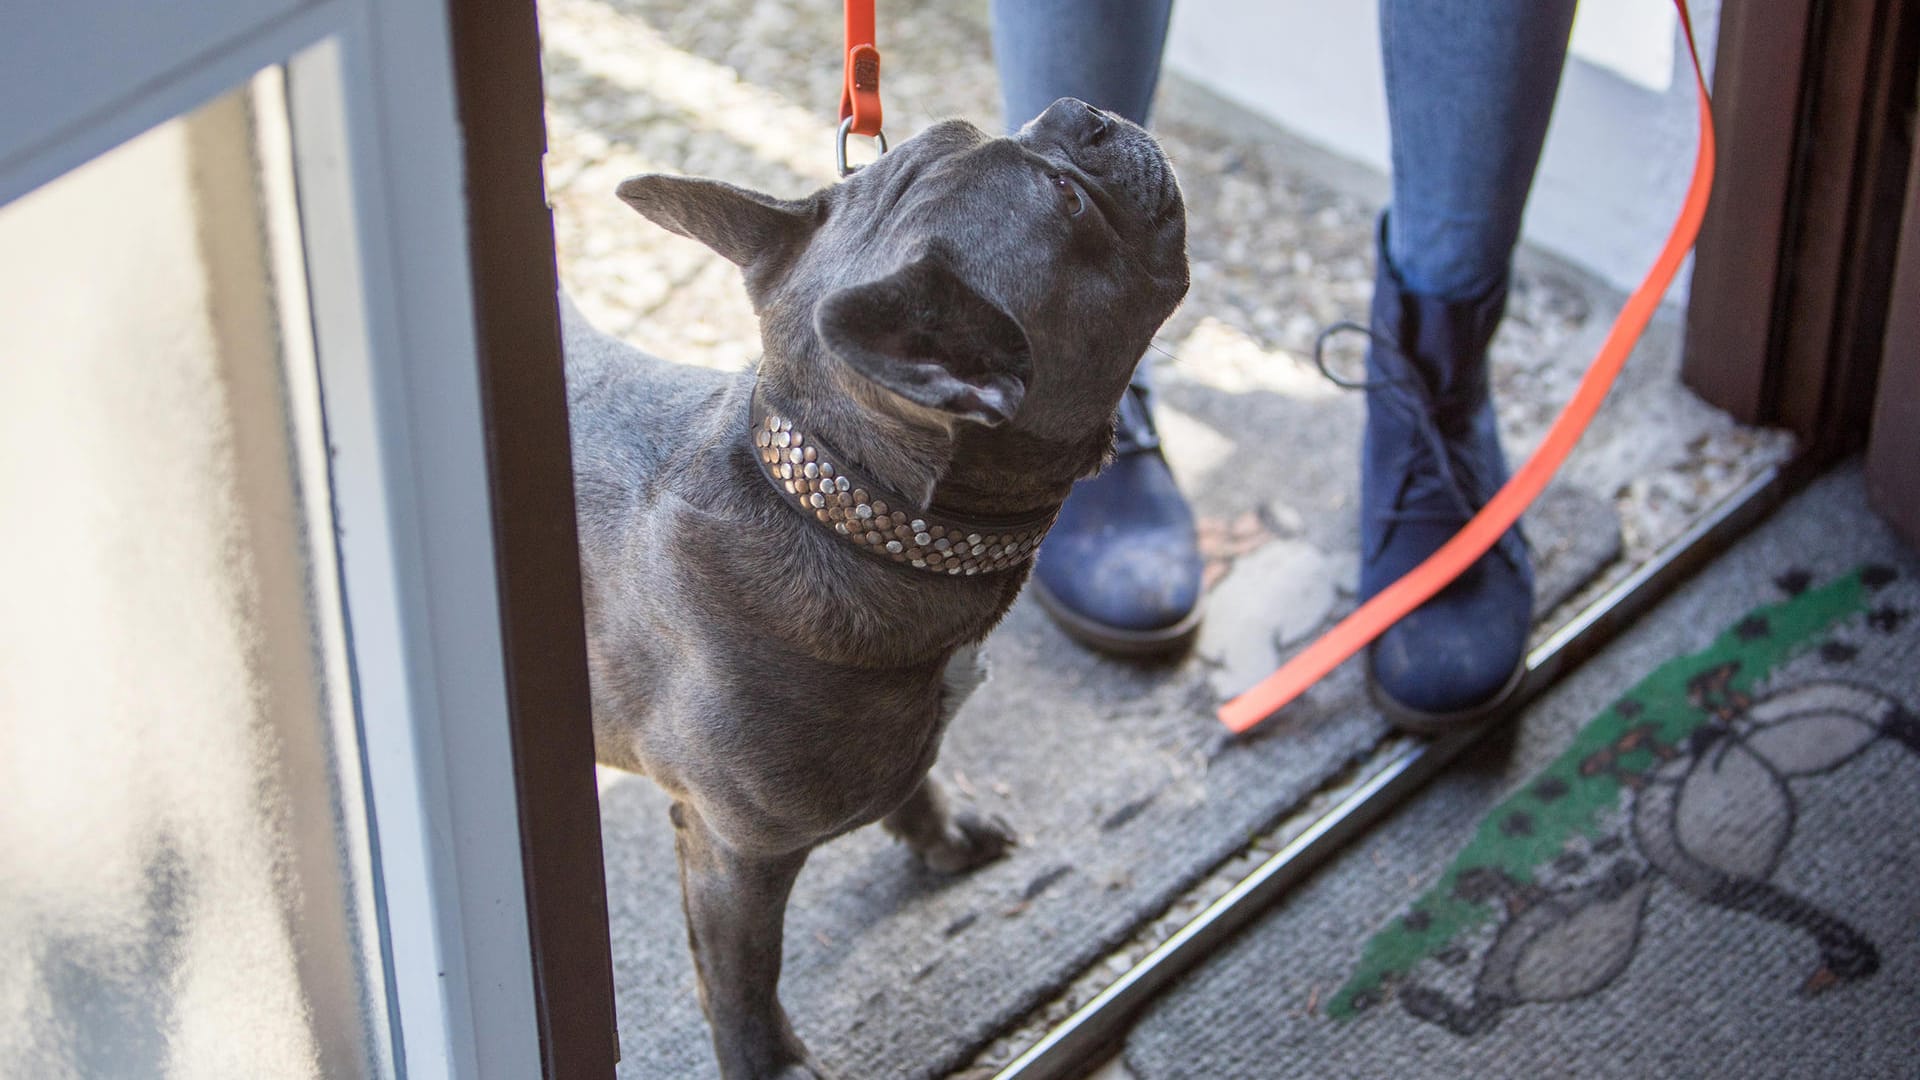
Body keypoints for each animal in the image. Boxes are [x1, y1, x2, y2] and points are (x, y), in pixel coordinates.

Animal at [560, 96, 1182, 1068]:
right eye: (1068, 200)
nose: (1076, 113)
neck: (842, 503)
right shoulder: (732, 853)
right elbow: (743, 974)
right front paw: (767, 1062)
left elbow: (920, 779)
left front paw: (942, 830)